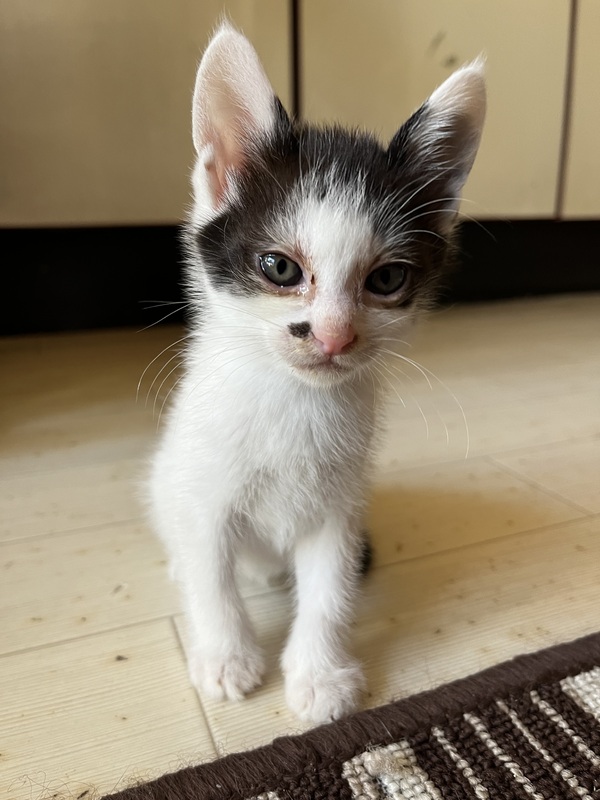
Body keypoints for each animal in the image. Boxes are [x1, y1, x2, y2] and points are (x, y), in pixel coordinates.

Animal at [148, 22, 485, 724]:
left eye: (387, 279)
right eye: (280, 268)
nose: (332, 335)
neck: (293, 401)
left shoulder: (340, 507)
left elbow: (331, 588)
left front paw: (319, 675)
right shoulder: (204, 487)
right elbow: (211, 571)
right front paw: (225, 657)